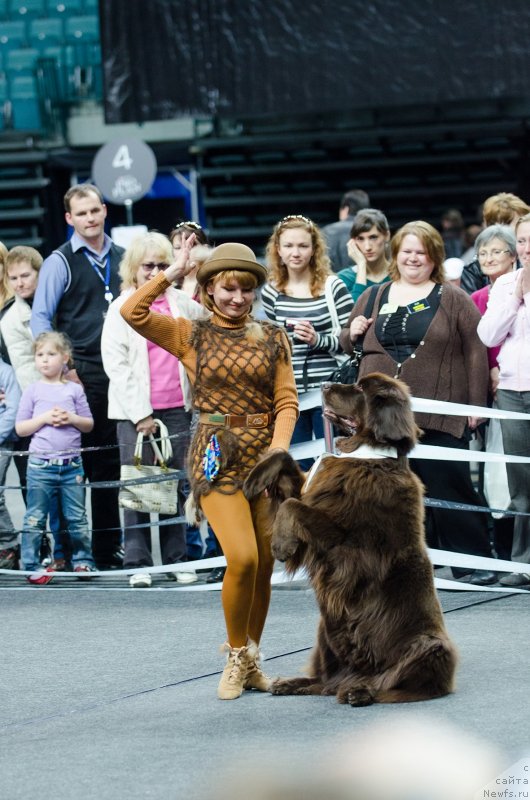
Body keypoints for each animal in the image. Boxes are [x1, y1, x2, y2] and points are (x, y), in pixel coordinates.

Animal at [242, 372, 454, 704]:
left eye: (359, 389)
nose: (325, 385)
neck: (366, 457)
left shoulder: (347, 544)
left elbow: (294, 507)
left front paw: (281, 546)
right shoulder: (312, 491)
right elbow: (285, 463)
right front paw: (254, 478)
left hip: (430, 647)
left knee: (393, 683)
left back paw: (361, 691)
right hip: (324, 636)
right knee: (325, 681)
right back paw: (293, 683)